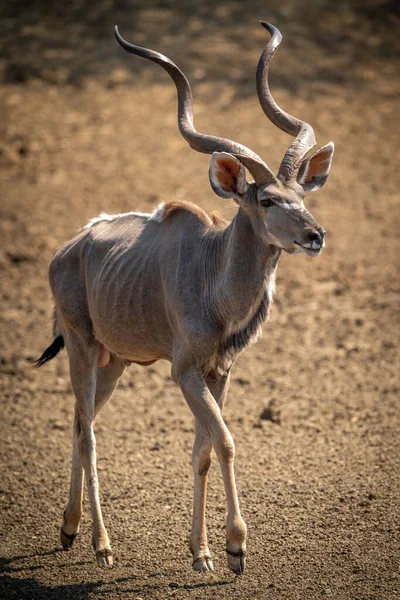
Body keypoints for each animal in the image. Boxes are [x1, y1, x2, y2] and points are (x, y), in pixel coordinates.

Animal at [35, 23, 334, 576]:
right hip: (82, 348)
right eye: (266, 200)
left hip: (114, 362)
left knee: (79, 423)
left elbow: (203, 450)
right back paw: (101, 544)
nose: (314, 235)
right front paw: (236, 547)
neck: (214, 278)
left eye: (303, 196)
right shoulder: (185, 371)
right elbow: (226, 441)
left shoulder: (219, 372)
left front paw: (202, 553)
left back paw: (68, 530)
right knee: (88, 432)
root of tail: (68, 250)